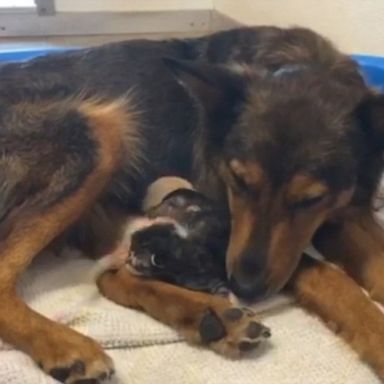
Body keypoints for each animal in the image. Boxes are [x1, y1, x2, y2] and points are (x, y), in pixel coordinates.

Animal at [0, 26, 384, 380]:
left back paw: (211, 317)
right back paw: (66, 344)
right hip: (100, 133)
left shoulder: (346, 211)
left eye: (311, 199)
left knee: (111, 276)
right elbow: (330, 277)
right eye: (239, 180)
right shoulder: (224, 222)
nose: (244, 288)